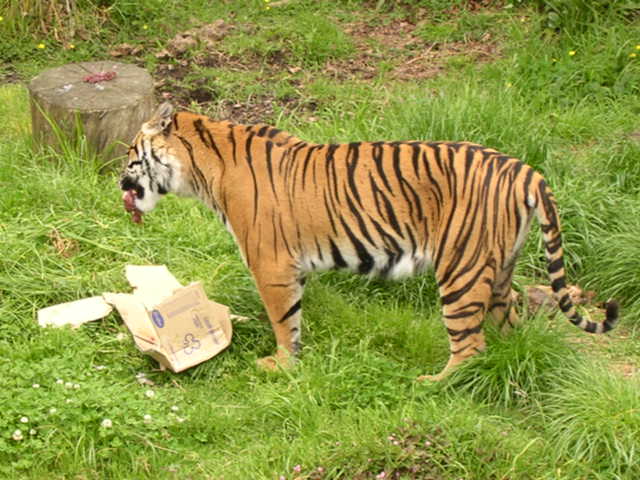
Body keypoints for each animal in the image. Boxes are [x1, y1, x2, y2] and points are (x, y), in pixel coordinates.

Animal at [119, 103, 616, 380]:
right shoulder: (291, 267)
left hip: (461, 268)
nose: (118, 181)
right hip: (499, 267)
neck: (202, 169)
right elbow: (294, 318)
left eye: (129, 154)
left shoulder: (271, 265)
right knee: (507, 324)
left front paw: (281, 366)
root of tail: (525, 169)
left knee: (470, 346)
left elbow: (283, 321)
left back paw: (434, 384)